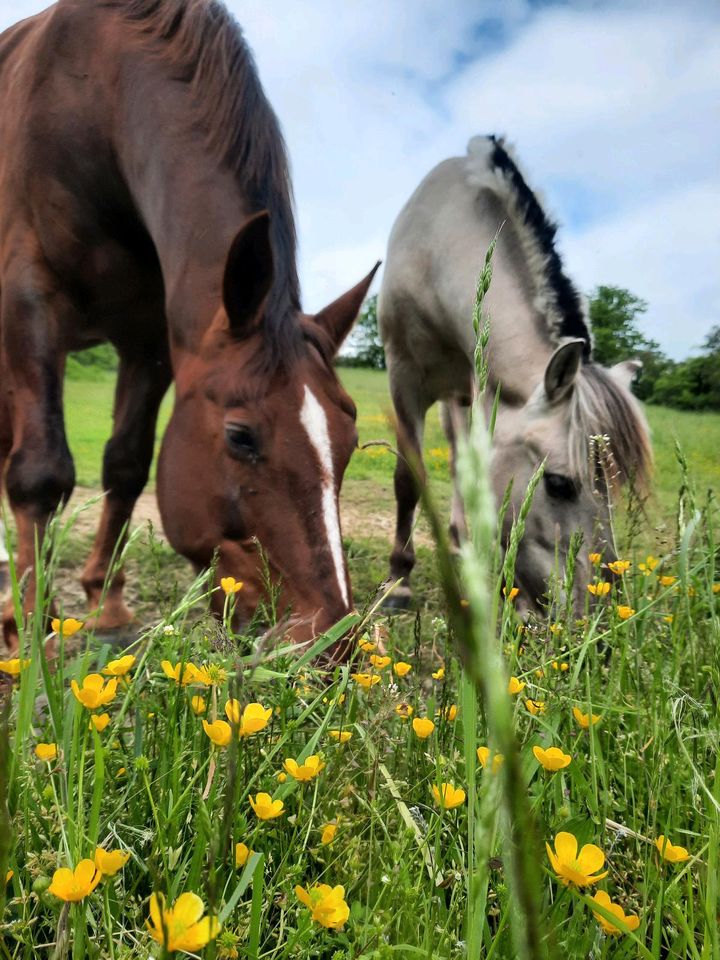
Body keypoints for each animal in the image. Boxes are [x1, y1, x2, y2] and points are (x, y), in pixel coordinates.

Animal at [0, 1, 376, 652]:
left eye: (349, 440)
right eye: (240, 436)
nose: (330, 640)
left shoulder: (149, 340)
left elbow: (125, 466)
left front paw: (105, 603)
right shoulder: (29, 296)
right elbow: (40, 472)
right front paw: (31, 634)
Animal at [382, 135, 652, 616]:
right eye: (559, 484)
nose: (602, 612)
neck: (439, 251)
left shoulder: (483, 391)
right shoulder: (404, 377)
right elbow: (408, 479)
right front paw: (399, 582)